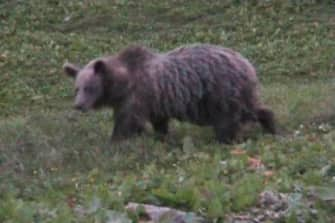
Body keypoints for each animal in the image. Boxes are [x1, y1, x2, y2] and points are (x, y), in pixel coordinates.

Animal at [63, 43, 276, 144]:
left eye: (89, 87)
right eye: (76, 88)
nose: (78, 105)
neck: (121, 85)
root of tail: (247, 64)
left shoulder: (138, 96)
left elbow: (127, 122)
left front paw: (115, 141)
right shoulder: (154, 102)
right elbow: (158, 123)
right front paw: (161, 137)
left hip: (220, 92)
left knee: (228, 120)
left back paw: (225, 139)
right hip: (237, 94)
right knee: (253, 109)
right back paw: (271, 126)